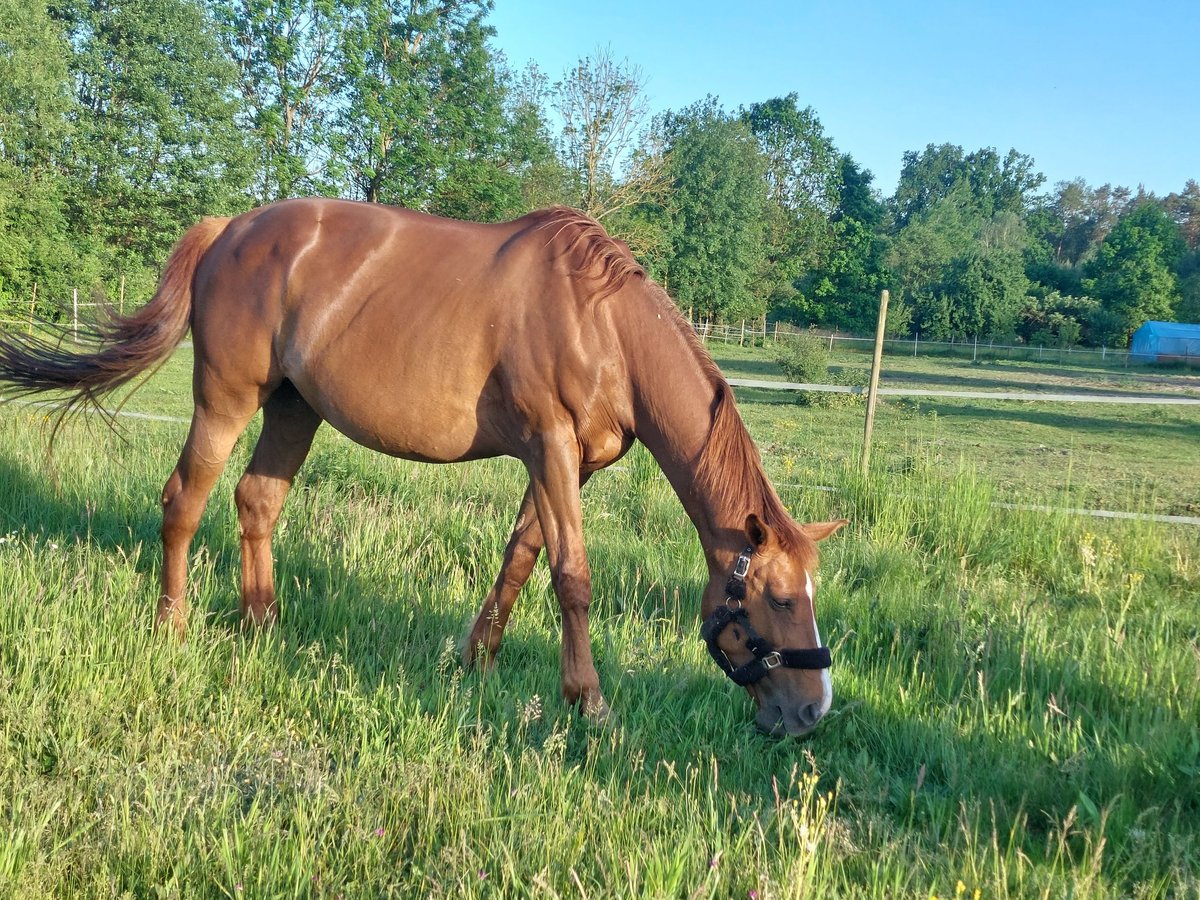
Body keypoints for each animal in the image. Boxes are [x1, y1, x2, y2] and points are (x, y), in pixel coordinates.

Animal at [0, 200, 844, 734]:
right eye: (775, 599)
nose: (812, 711)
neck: (602, 325)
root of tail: (228, 228)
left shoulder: (566, 464)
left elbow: (521, 556)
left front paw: (477, 661)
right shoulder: (551, 446)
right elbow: (571, 575)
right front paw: (590, 702)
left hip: (293, 409)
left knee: (257, 501)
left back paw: (263, 624)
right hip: (225, 400)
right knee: (185, 499)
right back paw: (172, 626)